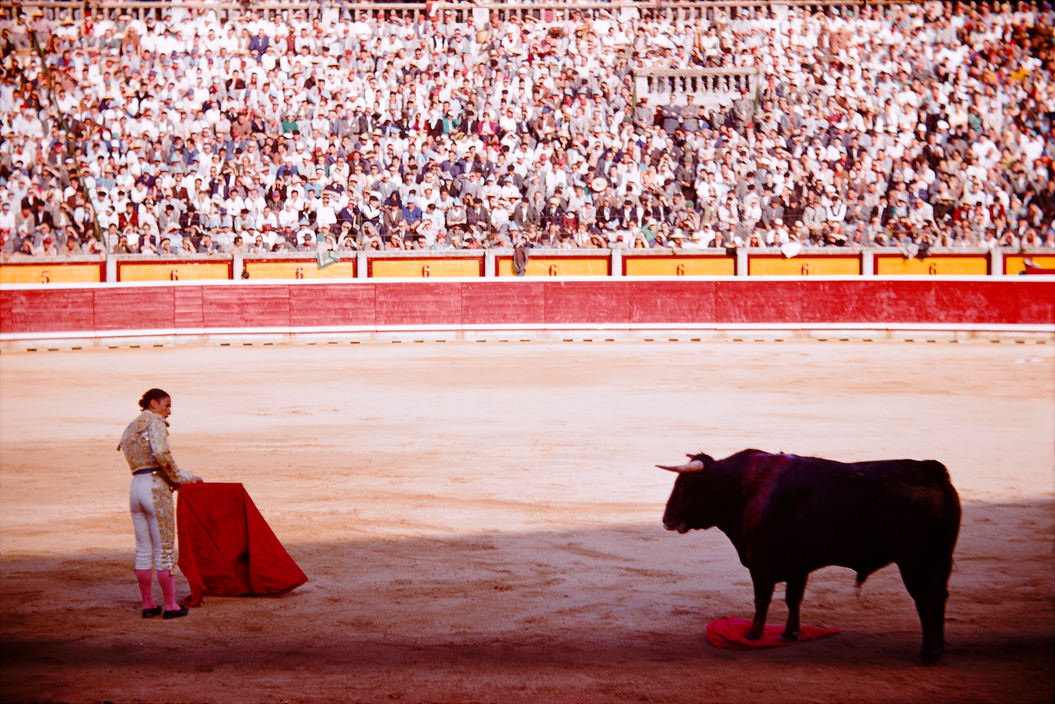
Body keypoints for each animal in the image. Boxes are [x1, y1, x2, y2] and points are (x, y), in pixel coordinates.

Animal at [662, 451, 962, 662]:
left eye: (686, 487)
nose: (666, 520)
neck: (744, 488)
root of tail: (934, 471)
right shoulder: (798, 566)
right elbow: (793, 599)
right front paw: (789, 634)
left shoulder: (761, 565)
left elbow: (762, 599)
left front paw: (753, 634)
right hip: (939, 562)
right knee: (940, 598)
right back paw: (940, 646)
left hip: (917, 562)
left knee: (926, 600)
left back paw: (928, 652)